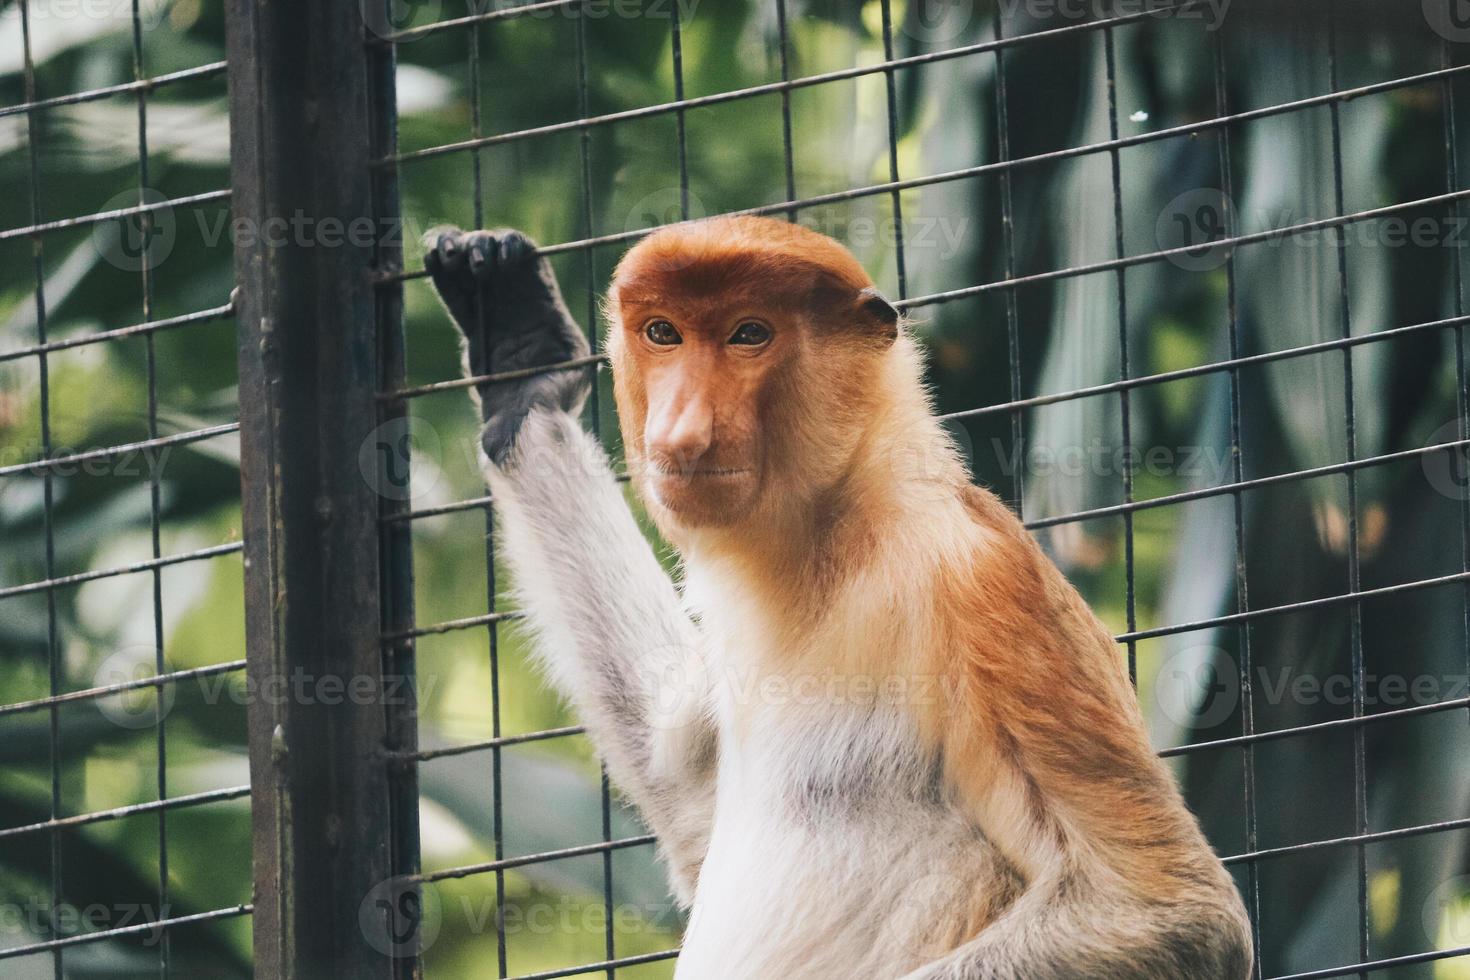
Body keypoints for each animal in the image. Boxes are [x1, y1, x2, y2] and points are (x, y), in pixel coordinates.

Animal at [426, 215, 1252, 980]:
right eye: (662, 333)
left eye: (749, 335)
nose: (682, 431)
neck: (835, 533)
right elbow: (689, 796)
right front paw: (525, 370)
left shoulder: (978, 578)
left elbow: (1161, 910)